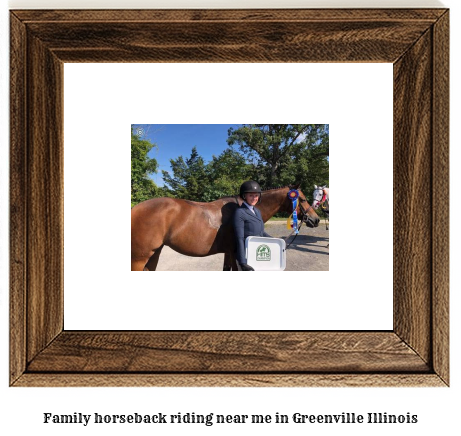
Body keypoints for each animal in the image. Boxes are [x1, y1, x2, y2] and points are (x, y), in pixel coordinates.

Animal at [130, 183, 320, 270]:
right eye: (303, 199)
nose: (316, 219)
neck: (243, 207)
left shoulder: (228, 252)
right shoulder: (235, 252)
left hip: (154, 254)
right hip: (138, 258)